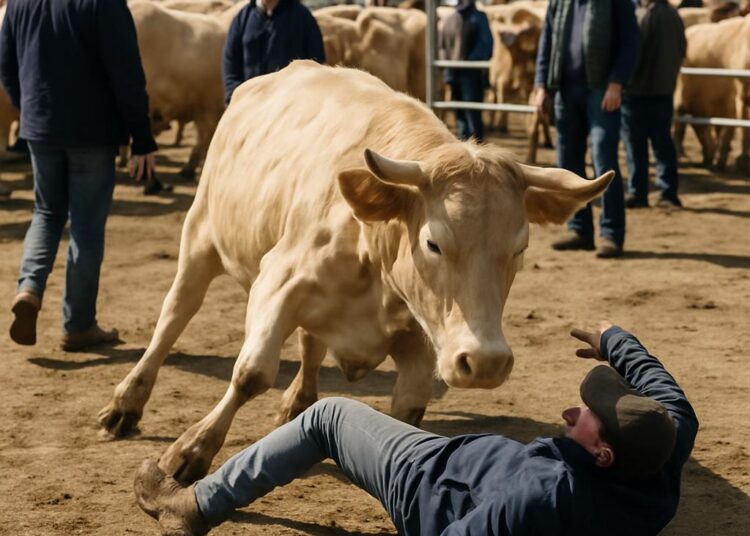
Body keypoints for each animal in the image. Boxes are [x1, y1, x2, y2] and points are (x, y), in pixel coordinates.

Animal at [98, 62, 612, 484]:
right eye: (433, 242)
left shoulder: (424, 335)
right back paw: (127, 403)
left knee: (310, 343)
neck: (372, 244)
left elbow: (408, 408)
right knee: (174, 316)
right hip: (200, 237)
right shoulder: (276, 284)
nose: (485, 362)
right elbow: (250, 374)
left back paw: (299, 399)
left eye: (519, 248)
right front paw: (192, 449)